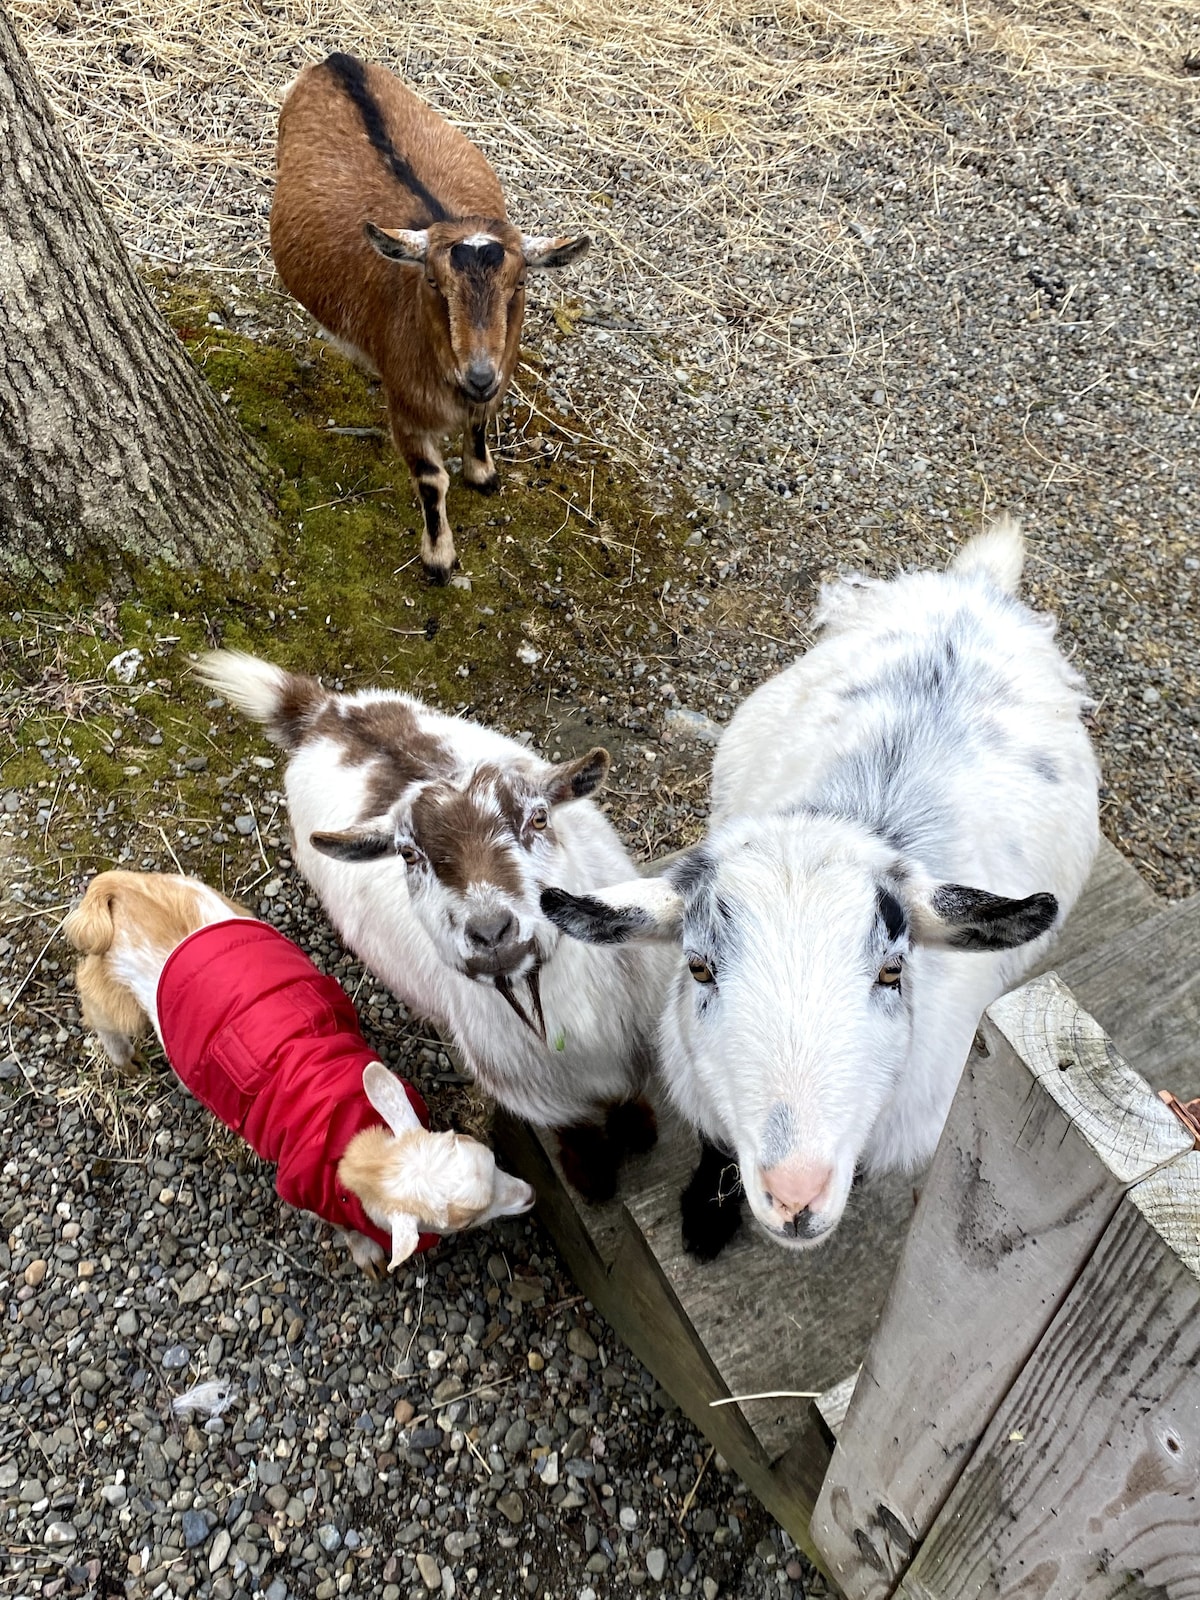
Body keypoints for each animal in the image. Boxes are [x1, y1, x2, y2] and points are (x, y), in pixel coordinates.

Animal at [66, 870, 531, 1280]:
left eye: (490, 1156)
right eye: (465, 1219)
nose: (529, 1196)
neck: (353, 1146)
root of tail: (118, 887)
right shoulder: (304, 1193)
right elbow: (345, 1231)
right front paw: (368, 1257)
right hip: (112, 992)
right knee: (97, 1007)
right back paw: (126, 1061)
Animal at [272, 53, 592, 585]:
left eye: (519, 285)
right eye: (433, 283)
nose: (479, 375)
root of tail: (336, 61)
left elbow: (482, 422)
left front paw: (483, 474)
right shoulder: (407, 409)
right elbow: (430, 480)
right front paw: (439, 558)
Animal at [544, 518, 1100, 1254]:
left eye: (893, 971)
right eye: (699, 967)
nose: (796, 1193)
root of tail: (976, 588)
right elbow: (715, 1146)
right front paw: (705, 1218)